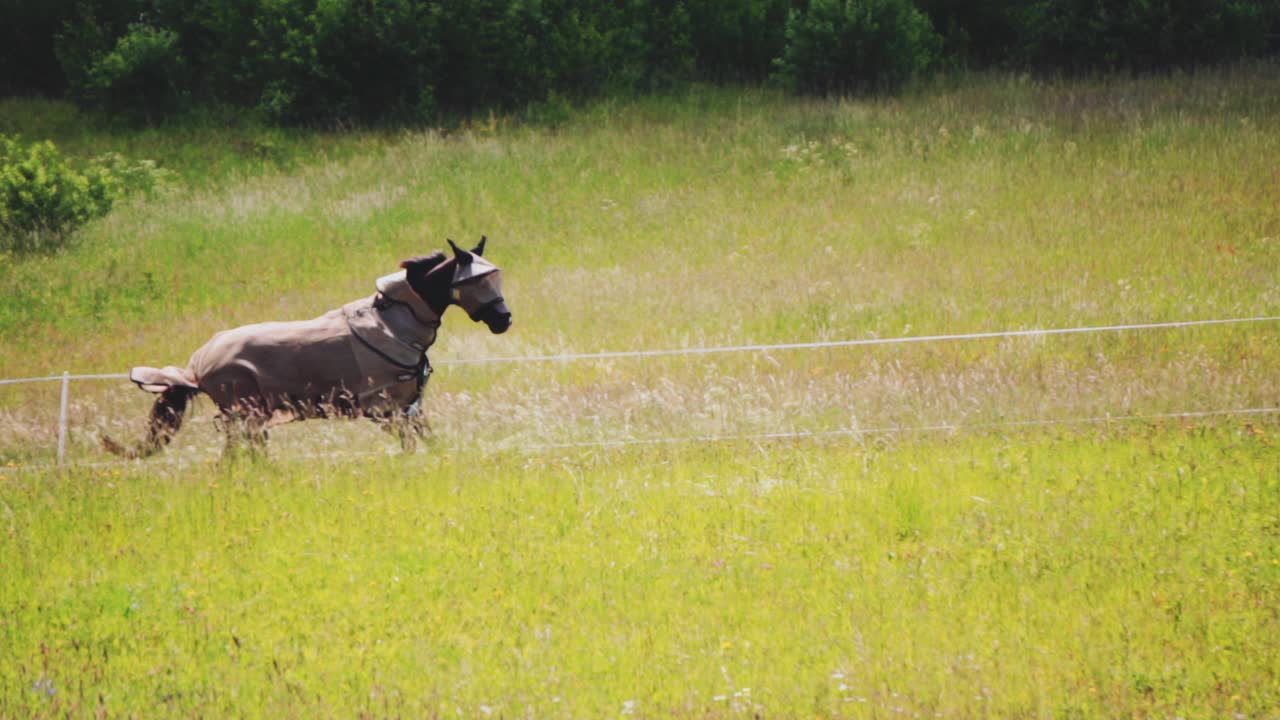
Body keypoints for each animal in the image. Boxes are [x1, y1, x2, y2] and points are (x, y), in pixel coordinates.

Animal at [102, 238, 509, 456]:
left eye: (496, 276)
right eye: (474, 282)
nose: (504, 320)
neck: (393, 322)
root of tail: (196, 365)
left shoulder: (411, 408)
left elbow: (432, 441)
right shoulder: (388, 411)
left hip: (249, 419)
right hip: (244, 416)